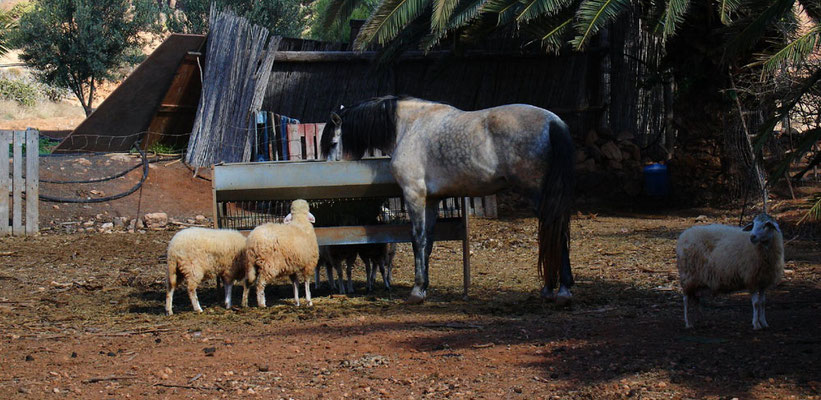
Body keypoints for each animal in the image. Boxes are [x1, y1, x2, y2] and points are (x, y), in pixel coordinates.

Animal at [318, 96, 572, 304]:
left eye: (333, 143)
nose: (328, 168)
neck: (409, 126)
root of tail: (554, 122)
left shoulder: (414, 195)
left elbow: (417, 238)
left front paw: (417, 291)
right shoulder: (432, 200)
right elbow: (428, 241)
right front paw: (424, 287)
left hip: (539, 196)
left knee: (555, 233)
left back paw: (558, 291)